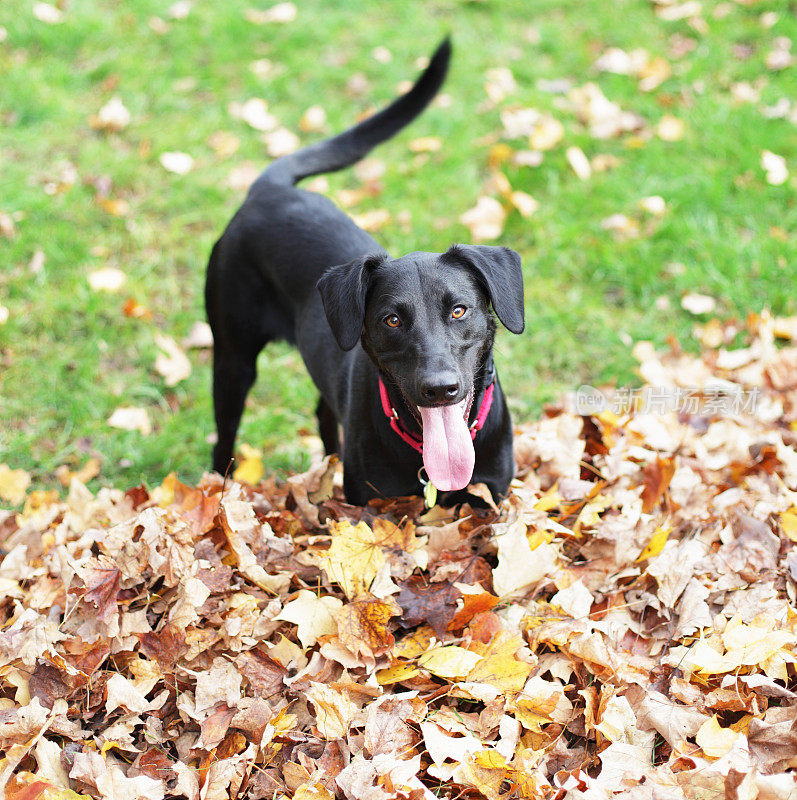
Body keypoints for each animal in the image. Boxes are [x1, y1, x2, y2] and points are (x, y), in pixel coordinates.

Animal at [208, 39, 524, 506]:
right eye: (391, 320)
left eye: (459, 311)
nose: (439, 389)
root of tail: (270, 188)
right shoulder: (368, 505)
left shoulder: (494, 497)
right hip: (232, 358)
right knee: (224, 436)